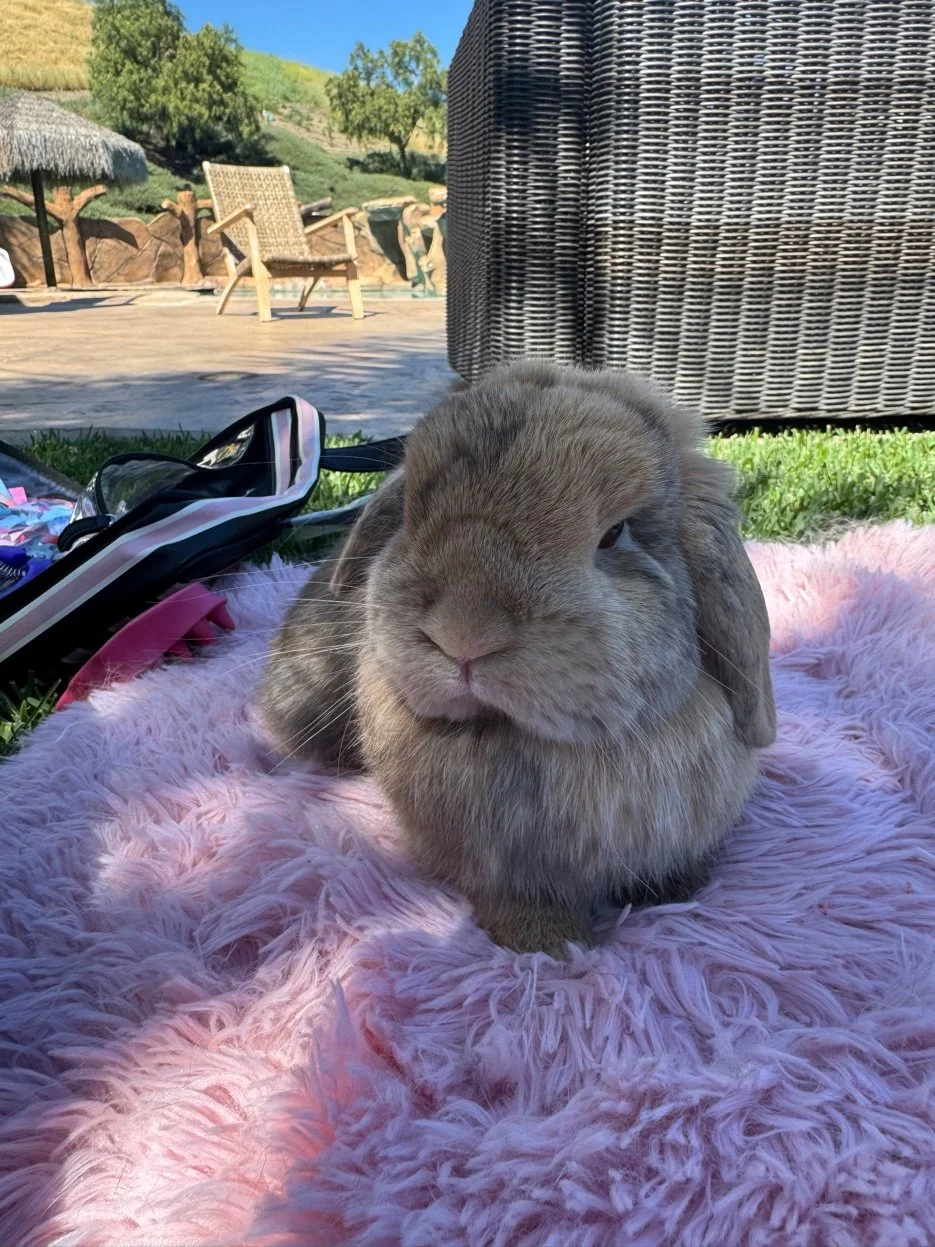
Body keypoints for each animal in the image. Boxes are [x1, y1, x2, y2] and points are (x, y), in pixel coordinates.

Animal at [260, 361, 776, 956]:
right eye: (410, 515)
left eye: (614, 534)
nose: (463, 633)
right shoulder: (500, 868)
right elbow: (521, 899)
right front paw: (546, 944)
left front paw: (675, 892)